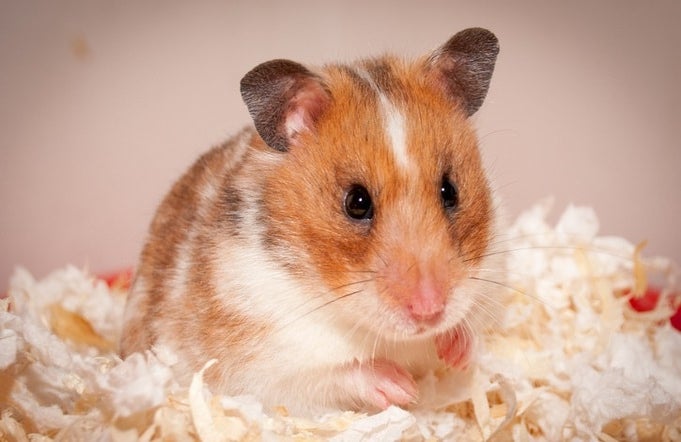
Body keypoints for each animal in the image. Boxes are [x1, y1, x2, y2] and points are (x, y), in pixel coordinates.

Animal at [120, 27, 501, 416]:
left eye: (450, 191)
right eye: (356, 203)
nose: (430, 311)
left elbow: (472, 328)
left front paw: (456, 351)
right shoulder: (263, 364)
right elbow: (337, 374)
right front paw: (401, 387)